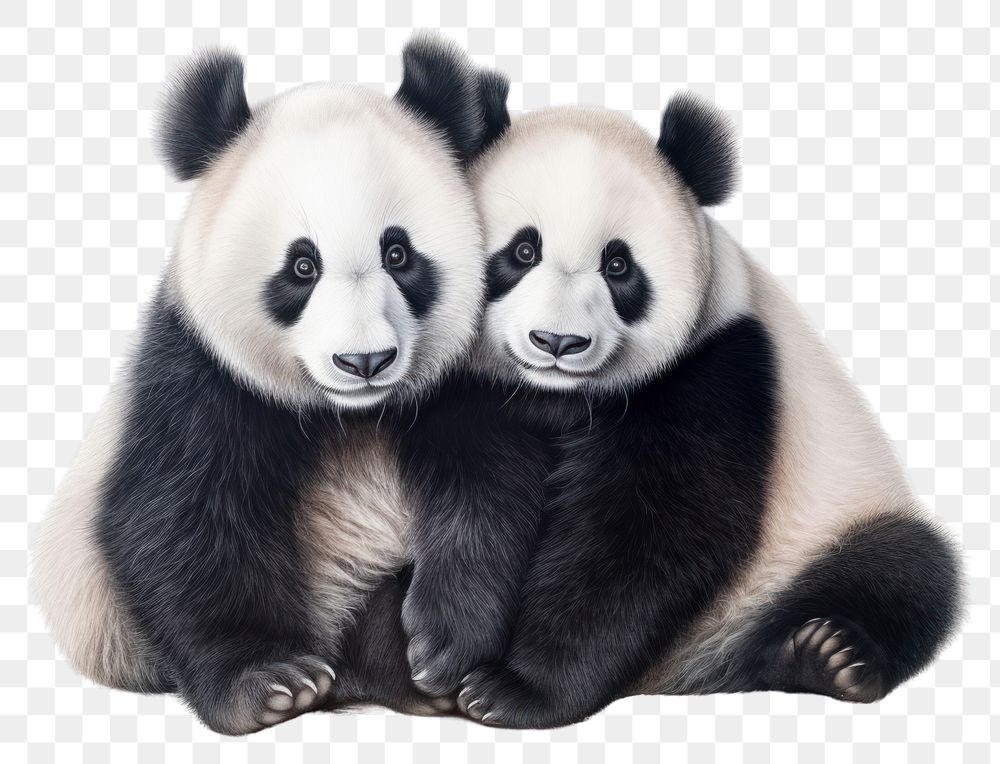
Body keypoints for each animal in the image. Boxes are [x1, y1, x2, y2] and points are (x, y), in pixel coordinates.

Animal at [31, 35, 510, 735]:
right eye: (302, 266)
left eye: (399, 254)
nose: (364, 360)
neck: (351, 414)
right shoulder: (199, 371)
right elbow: (180, 514)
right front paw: (268, 685)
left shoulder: (464, 380)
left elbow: (489, 487)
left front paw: (445, 645)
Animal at [397, 91, 963, 728]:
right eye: (523, 250)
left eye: (618, 265)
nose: (557, 342)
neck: (557, 397)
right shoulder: (469, 389)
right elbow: (474, 494)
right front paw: (445, 651)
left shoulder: (719, 369)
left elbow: (648, 535)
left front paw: (516, 690)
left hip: (828, 523)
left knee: (906, 567)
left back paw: (832, 654)